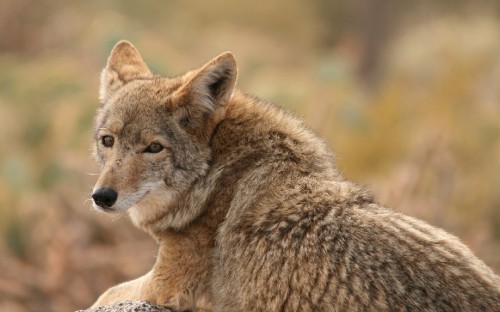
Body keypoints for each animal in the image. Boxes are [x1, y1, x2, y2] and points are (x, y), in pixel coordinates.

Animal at [90, 40, 500, 310]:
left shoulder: (167, 287)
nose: (102, 196)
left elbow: (103, 293)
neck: (216, 177)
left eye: (153, 148)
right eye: (108, 141)